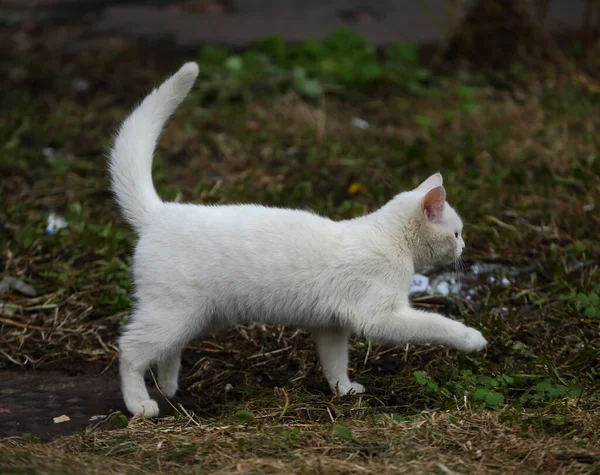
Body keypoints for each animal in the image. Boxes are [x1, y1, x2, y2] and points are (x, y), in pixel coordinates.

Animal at [111, 62, 488, 416]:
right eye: (456, 232)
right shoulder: (380, 317)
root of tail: (160, 213)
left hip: (198, 315)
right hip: (172, 312)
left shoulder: (331, 326)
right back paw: (139, 403)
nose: (464, 247)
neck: (388, 238)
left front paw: (344, 390)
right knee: (129, 349)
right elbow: (435, 324)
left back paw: (168, 386)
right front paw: (472, 338)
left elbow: (335, 362)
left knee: (167, 349)